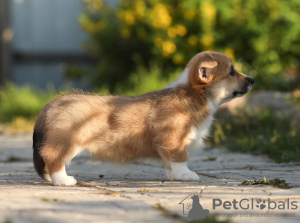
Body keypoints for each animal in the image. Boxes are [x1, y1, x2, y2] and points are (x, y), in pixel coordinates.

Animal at [32, 51, 253, 186]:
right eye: (232, 71)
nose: (253, 79)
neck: (193, 95)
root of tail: (51, 104)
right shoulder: (172, 140)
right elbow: (181, 158)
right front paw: (186, 175)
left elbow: (170, 162)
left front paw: (175, 176)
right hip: (66, 142)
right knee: (52, 157)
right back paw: (63, 180)